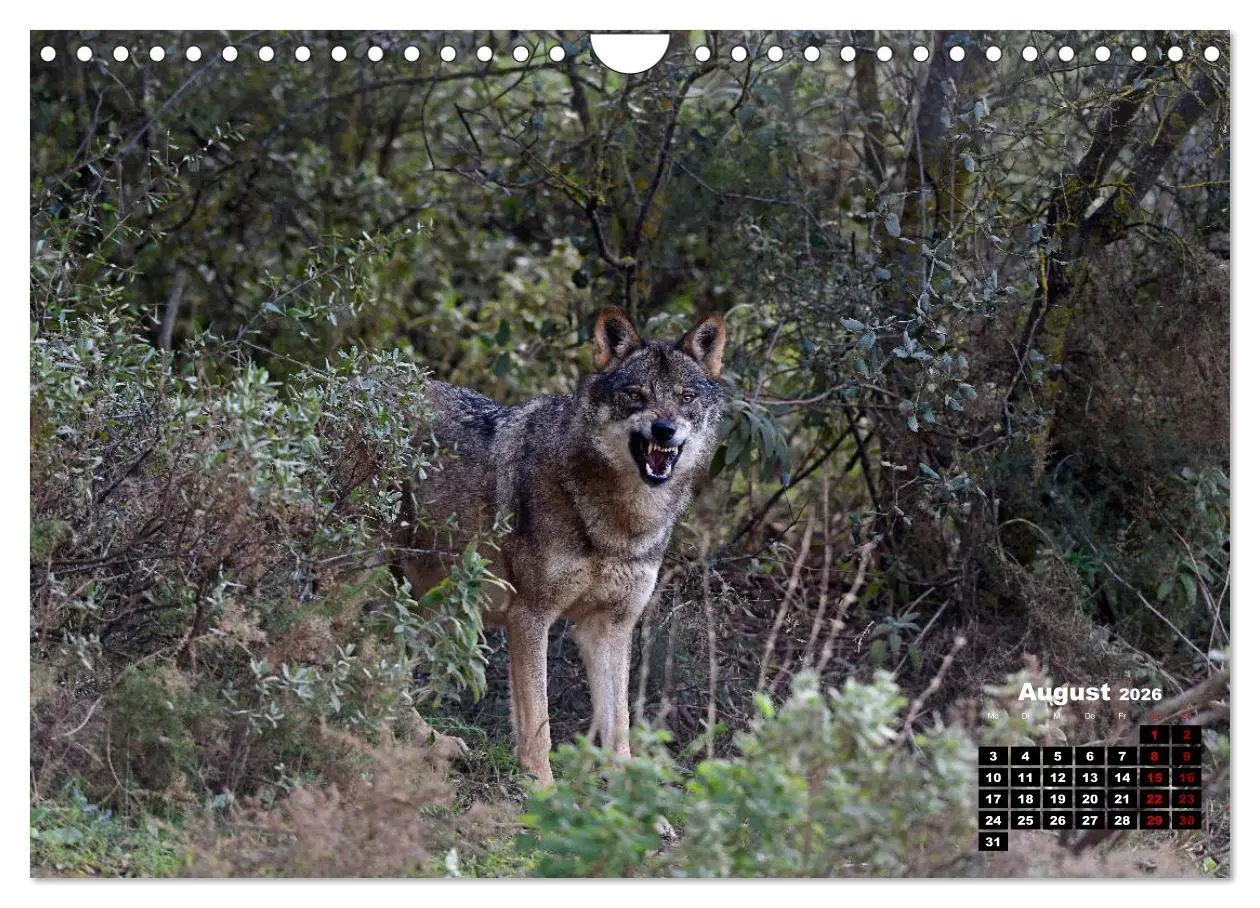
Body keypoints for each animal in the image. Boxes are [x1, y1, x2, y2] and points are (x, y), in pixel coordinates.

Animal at [395, 307, 727, 785]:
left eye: (686, 397)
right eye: (635, 395)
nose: (665, 429)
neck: (618, 526)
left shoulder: (609, 627)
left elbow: (619, 728)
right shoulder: (529, 616)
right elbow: (539, 724)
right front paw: (542, 789)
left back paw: (434, 744)